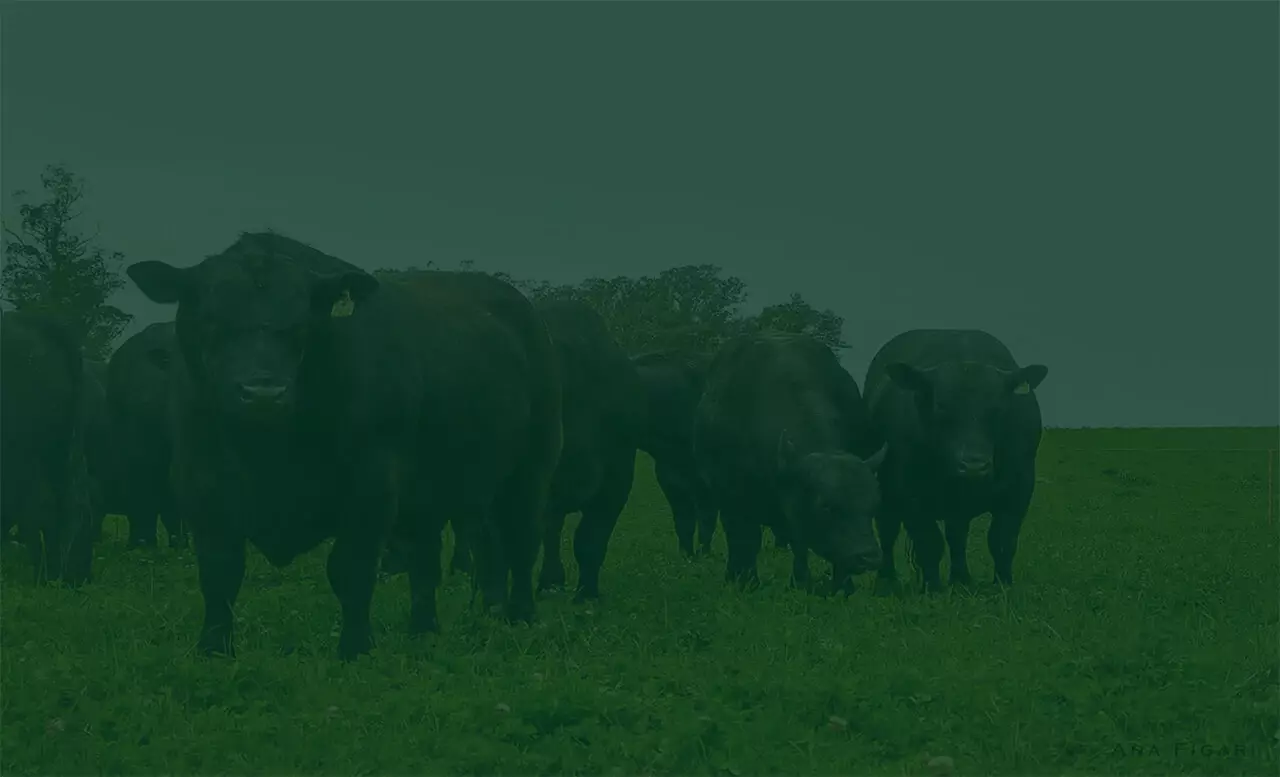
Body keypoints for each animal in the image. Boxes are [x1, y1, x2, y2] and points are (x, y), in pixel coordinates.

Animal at [125, 232, 561, 661]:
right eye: (212, 319)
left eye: (301, 324)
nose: (263, 393)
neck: (269, 452)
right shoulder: (203, 487)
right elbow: (220, 573)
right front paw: (213, 647)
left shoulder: (371, 488)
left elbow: (351, 570)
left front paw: (355, 647)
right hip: (430, 495)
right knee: (426, 559)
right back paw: (423, 630)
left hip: (530, 469)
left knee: (522, 541)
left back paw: (520, 616)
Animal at [632, 350, 719, 557]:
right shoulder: (670, 479)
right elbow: (684, 522)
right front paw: (686, 555)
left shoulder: (706, 484)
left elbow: (706, 520)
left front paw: (704, 555)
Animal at [693, 331, 886, 594]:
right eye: (826, 506)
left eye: (874, 505)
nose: (869, 557)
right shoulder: (733, 497)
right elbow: (746, 539)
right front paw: (746, 579)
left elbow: (803, 544)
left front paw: (834, 586)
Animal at [864, 329, 1048, 593]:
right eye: (941, 407)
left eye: (998, 408)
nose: (973, 465)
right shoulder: (909, 494)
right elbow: (928, 542)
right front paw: (932, 587)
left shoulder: (1019, 488)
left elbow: (1002, 540)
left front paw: (1003, 584)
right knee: (888, 529)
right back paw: (887, 578)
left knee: (957, 535)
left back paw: (961, 578)